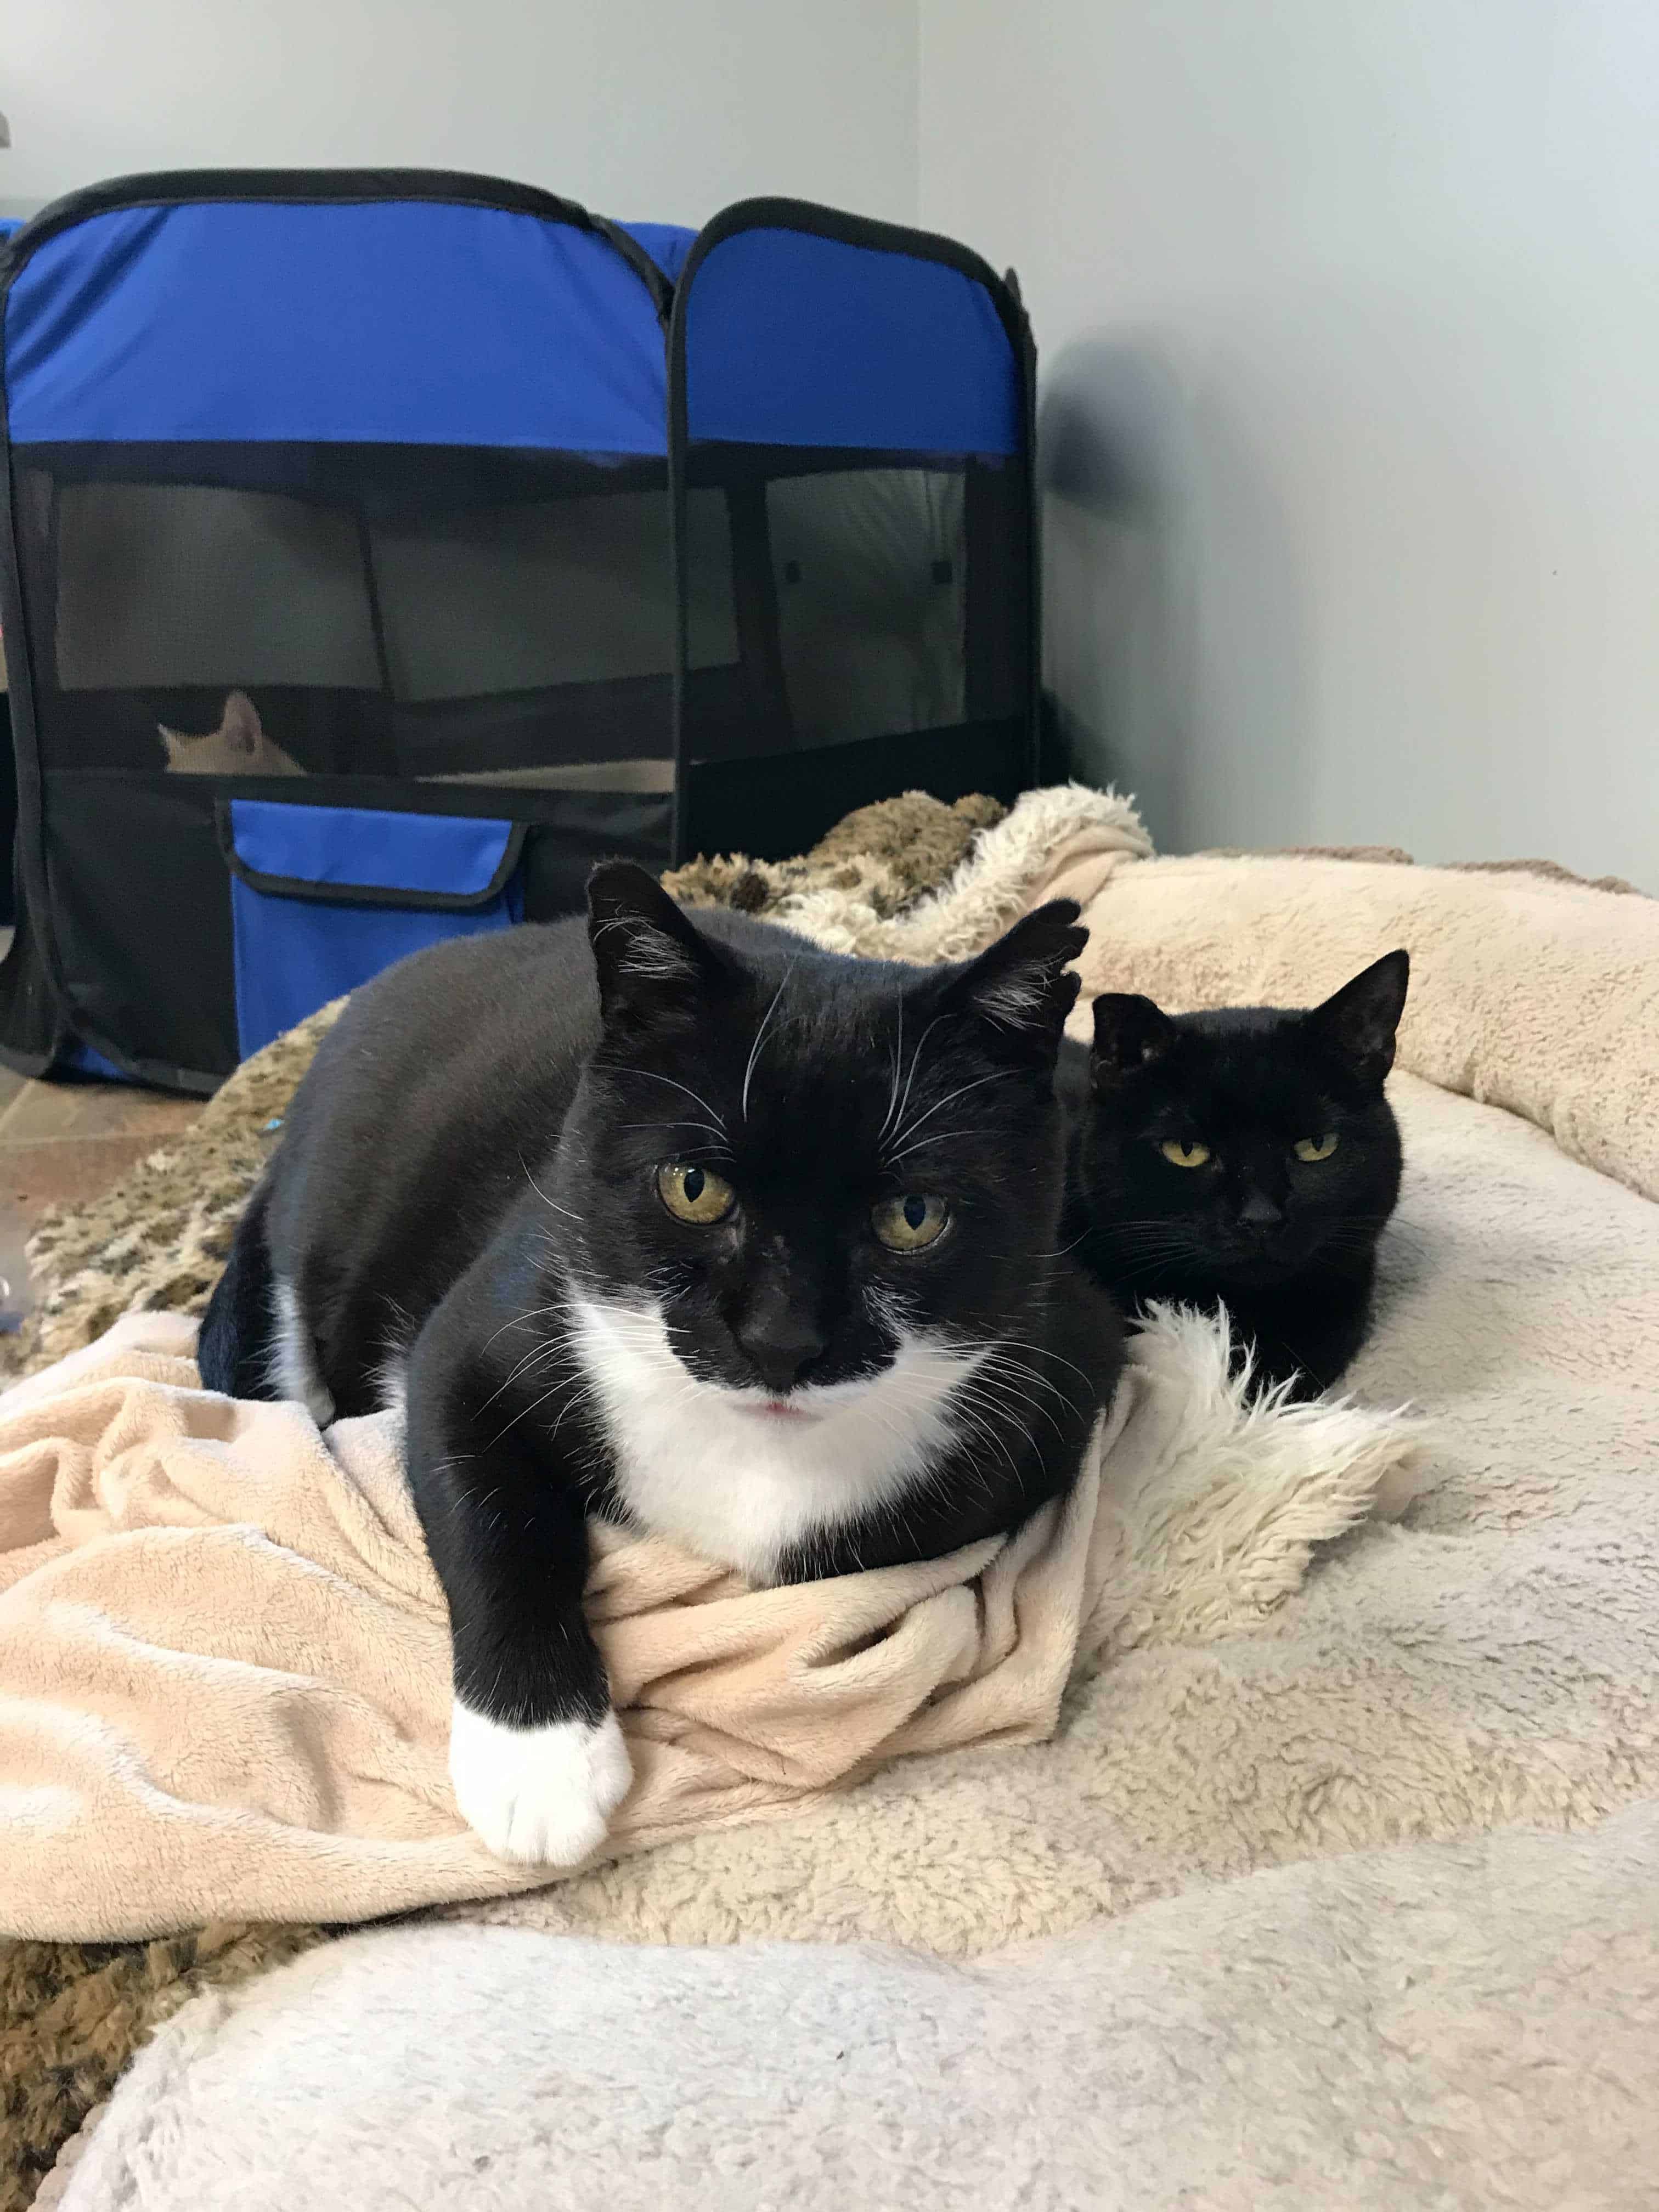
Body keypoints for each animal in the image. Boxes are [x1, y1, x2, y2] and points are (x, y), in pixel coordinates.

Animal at [198, 865, 1124, 1867]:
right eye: (692, 1188)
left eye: (913, 1216)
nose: (779, 1338)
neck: (752, 1457)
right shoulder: (493, 1316)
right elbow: (493, 1514)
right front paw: (538, 1762)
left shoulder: (1060, 1368)